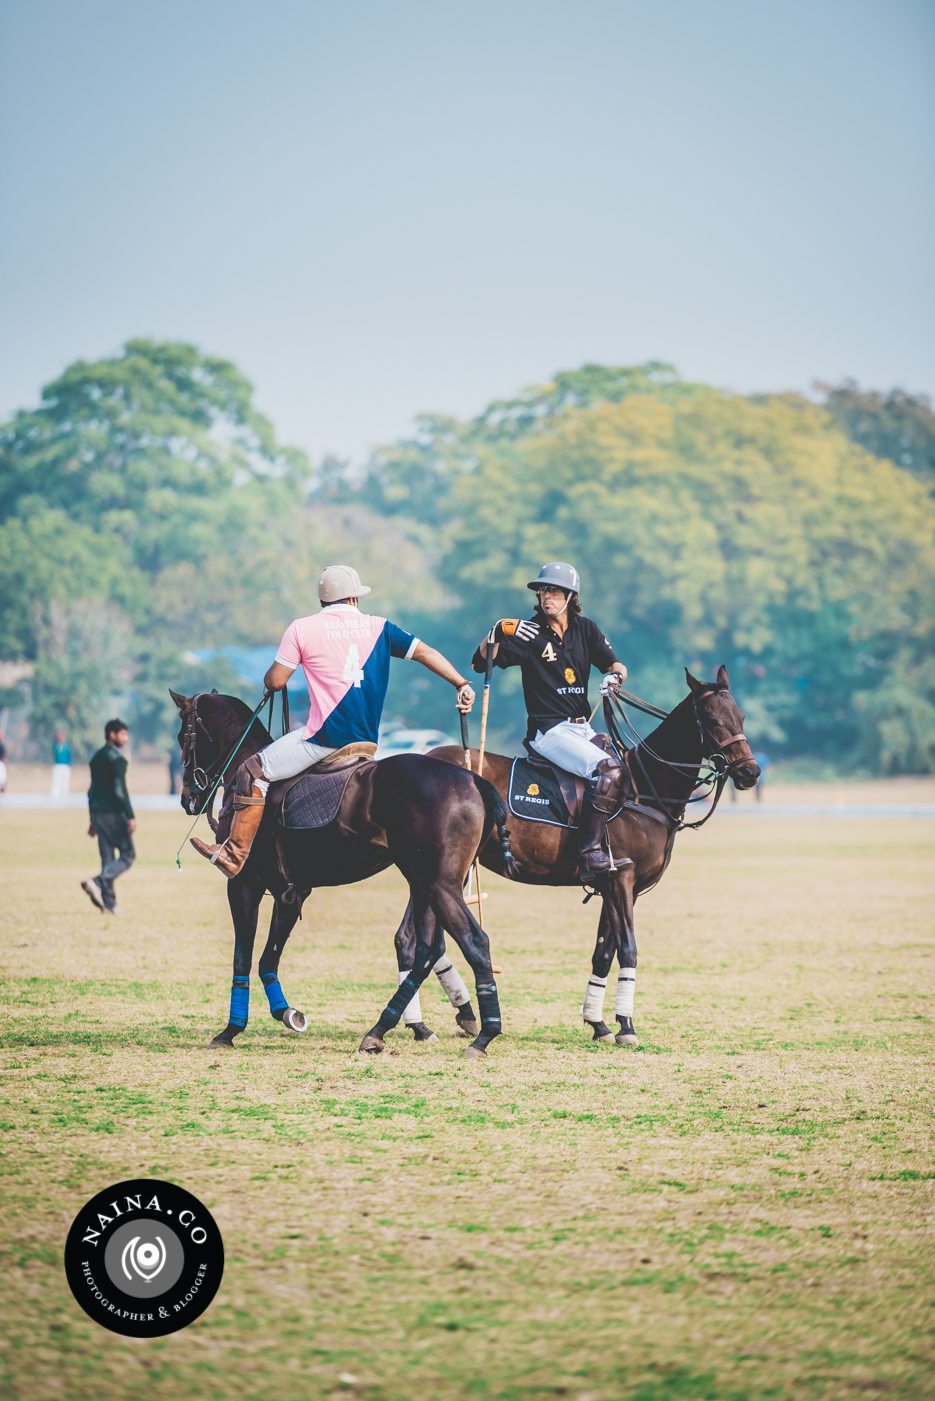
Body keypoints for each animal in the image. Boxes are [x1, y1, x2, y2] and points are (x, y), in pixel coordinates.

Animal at [171, 689, 515, 1059]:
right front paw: (287, 1012)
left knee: (473, 941)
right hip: (423, 881)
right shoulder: (291, 892)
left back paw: (484, 1035)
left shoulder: (243, 883)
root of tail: (473, 779)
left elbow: (242, 957)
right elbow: (268, 959)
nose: (188, 799)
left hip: (439, 884)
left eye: (182, 738)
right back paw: (380, 1030)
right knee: (427, 949)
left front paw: (231, 1030)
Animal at [392, 669, 762, 1053]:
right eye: (712, 720)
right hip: (443, 870)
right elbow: (628, 949)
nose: (750, 773)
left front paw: (599, 1023)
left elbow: (603, 951)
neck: (645, 790)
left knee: (411, 938)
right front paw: (626, 1025)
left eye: (741, 716)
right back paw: (433, 1020)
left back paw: (429, 1022)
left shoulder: (615, 886)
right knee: (416, 939)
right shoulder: (620, 880)